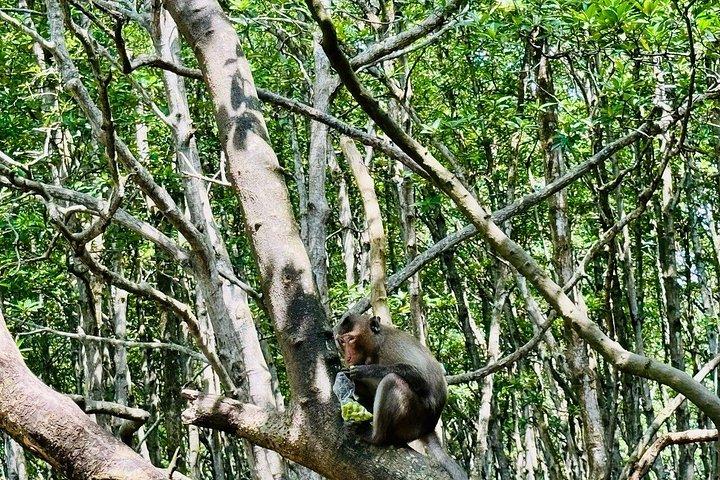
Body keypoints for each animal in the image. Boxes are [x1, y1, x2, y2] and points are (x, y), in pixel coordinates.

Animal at [335, 313, 468, 480]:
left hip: (413, 420)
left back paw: (376, 437)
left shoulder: (391, 348)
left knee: (392, 381)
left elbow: (421, 377)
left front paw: (365, 370)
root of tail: (428, 428)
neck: (375, 348)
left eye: (351, 339)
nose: (348, 357)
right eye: (342, 341)